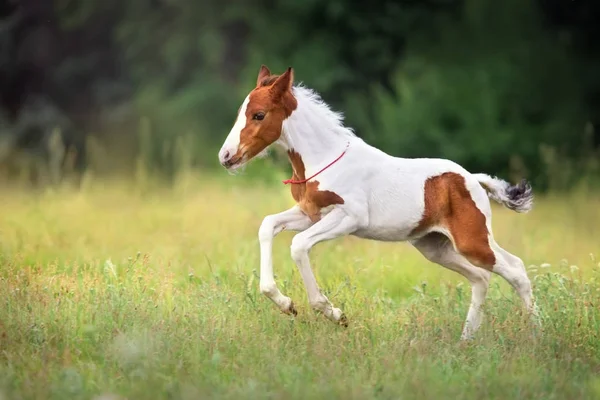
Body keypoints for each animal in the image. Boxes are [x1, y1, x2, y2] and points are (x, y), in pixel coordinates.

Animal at [218, 65, 536, 338]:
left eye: (259, 115)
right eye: (241, 113)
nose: (226, 156)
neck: (323, 158)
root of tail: (473, 179)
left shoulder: (349, 218)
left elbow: (298, 245)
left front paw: (334, 313)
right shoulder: (310, 214)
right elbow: (267, 225)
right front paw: (286, 304)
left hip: (472, 240)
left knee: (516, 271)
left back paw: (536, 336)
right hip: (434, 246)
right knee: (481, 278)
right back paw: (465, 341)